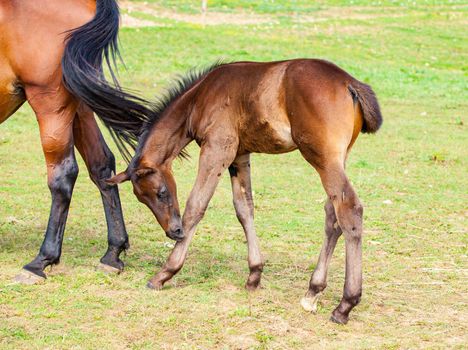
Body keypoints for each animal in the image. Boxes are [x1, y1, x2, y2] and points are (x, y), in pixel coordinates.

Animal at [0, 0, 154, 284]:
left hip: (51, 104)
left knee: (63, 176)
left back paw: (40, 261)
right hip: (79, 105)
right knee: (101, 164)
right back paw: (112, 254)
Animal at [108, 58, 382, 324]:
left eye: (161, 192)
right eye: (142, 199)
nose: (173, 231)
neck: (200, 97)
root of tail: (349, 83)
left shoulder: (218, 149)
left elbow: (196, 205)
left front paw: (165, 273)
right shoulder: (239, 155)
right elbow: (244, 208)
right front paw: (254, 274)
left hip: (322, 157)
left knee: (349, 210)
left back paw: (345, 305)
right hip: (338, 157)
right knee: (331, 213)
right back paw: (312, 292)